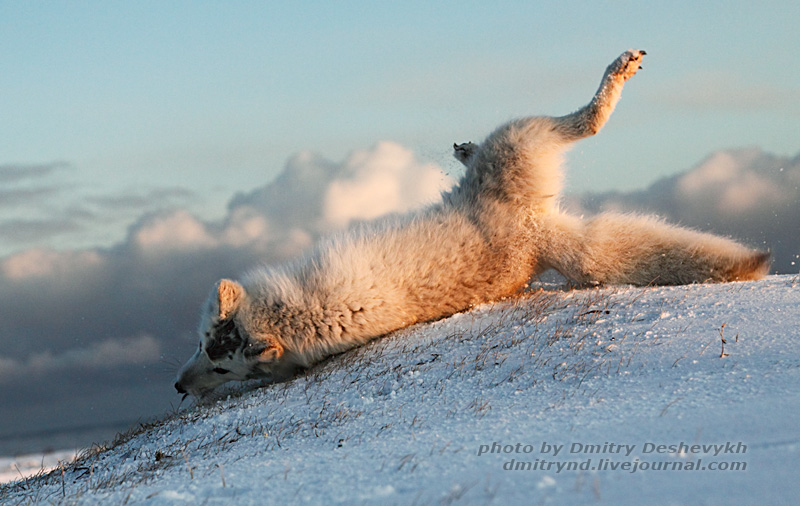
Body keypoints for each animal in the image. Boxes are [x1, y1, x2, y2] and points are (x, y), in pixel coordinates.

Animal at [173, 50, 768, 400]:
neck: (298, 314)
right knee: (582, 129)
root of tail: (535, 234)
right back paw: (469, 149)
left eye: (209, 352)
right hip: (528, 153)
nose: (178, 387)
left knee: (587, 121)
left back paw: (612, 73)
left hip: (518, 133)